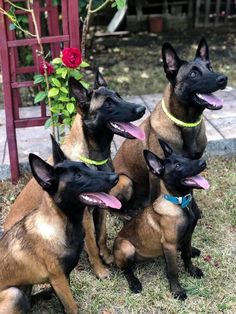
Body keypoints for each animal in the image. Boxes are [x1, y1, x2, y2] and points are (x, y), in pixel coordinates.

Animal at [0, 136, 121, 314]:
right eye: (78, 176)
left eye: (86, 167)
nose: (115, 176)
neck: (60, 225)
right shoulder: (58, 279)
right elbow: (72, 307)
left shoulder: (64, 277)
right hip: (13, 294)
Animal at [4, 70, 146, 278]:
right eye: (108, 104)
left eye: (119, 96)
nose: (142, 109)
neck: (94, 156)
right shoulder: (85, 215)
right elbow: (92, 244)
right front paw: (100, 270)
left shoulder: (102, 205)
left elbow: (101, 235)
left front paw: (107, 257)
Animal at [111, 36, 228, 217]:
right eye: (193, 73)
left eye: (210, 67)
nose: (223, 79)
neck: (186, 124)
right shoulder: (155, 175)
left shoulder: (191, 167)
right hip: (125, 181)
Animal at [113, 141, 209, 300]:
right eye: (178, 166)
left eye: (186, 157)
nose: (203, 162)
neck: (181, 204)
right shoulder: (169, 245)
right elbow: (172, 270)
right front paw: (177, 291)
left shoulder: (188, 236)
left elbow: (186, 255)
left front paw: (192, 271)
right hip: (127, 247)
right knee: (126, 270)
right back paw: (134, 283)